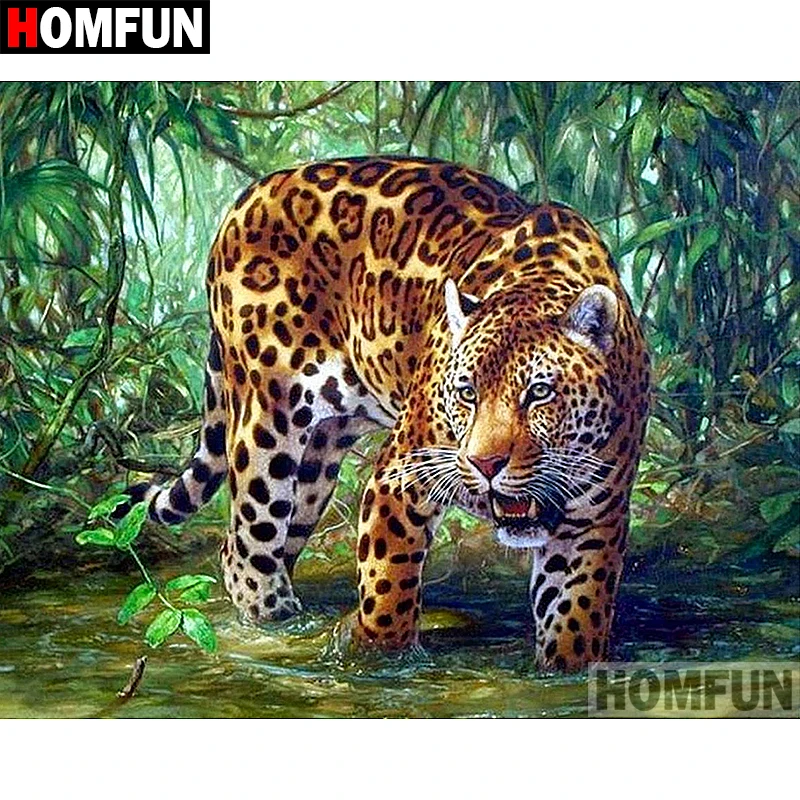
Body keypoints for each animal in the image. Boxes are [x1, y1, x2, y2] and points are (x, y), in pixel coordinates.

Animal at [124, 155, 650, 672]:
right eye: (466, 392)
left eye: (539, 392)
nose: (486, 464)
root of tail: (250, 195)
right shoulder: (399, 479)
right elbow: (387, 587)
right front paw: (376, 661)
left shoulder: (592, 523)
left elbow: (575, 619)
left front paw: (566, 671)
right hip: (265, 428)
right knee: (245, 551)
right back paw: (274, 630)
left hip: (318, 464)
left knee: (276, 544)